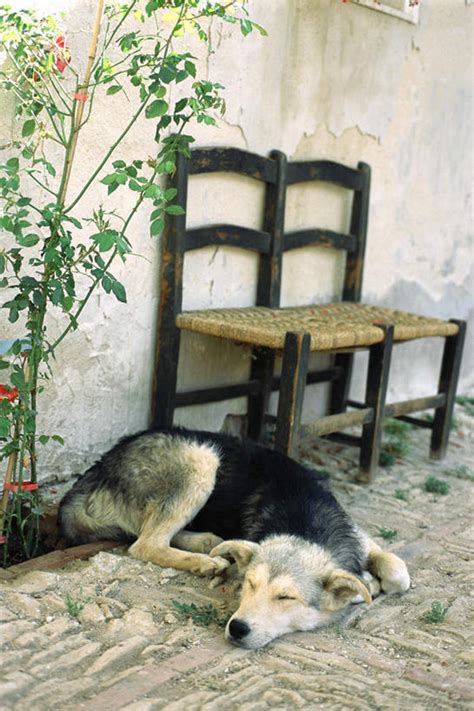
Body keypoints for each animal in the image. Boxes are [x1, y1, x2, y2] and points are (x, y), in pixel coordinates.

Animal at [58, 428, 408, 652]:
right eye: (249, 585)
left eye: (286, 597)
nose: (237, 628)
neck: (303, 521)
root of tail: (97, 467)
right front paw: (367, 586)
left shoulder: (357, 534)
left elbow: (397, 571)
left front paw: (371, 580)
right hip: (201, 458)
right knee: (146, 543)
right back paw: (205, 562)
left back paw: (206, 544)